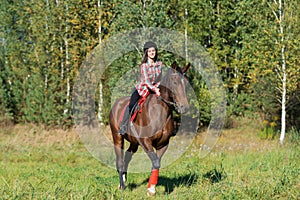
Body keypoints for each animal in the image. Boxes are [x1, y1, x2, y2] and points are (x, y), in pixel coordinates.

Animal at [109, 61, 191, 195]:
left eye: (187, 84)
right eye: (175, 82)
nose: (184, 107)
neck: (159, 111)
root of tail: (116, 104)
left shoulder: (163, 143)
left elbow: (156, 163)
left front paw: (151, 188)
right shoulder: (145, 141)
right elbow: (155, 162)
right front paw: (151, 190)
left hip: (134, 142)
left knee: (127, 157)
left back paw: (124, 180)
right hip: (117, 138)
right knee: (120, 161)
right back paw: (122, 186)